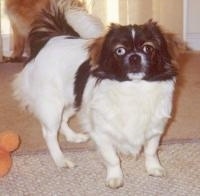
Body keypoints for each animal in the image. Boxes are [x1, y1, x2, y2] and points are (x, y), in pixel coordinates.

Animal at [13, 6, 180, 189]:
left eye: (148, 48)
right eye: (120, 50)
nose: (134, 57)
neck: (135, 89)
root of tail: (53, 38)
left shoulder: (154, 129)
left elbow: (151, 151)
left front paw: (154, 168)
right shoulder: (101, 133)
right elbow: (112, 158)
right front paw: (115, 178)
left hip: (75, 101)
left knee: (63, 120)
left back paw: (73, 137)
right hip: (51, 106)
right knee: (49, 134)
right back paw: (61, 160)